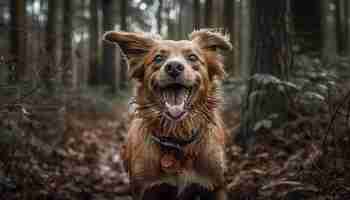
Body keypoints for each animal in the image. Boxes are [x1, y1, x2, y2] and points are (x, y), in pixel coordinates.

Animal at [104, 29, 232, 200]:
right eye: (158, 58)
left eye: (193, 57)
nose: (174, 67)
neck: (177, 137)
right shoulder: (146, 189)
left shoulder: (216, 186)